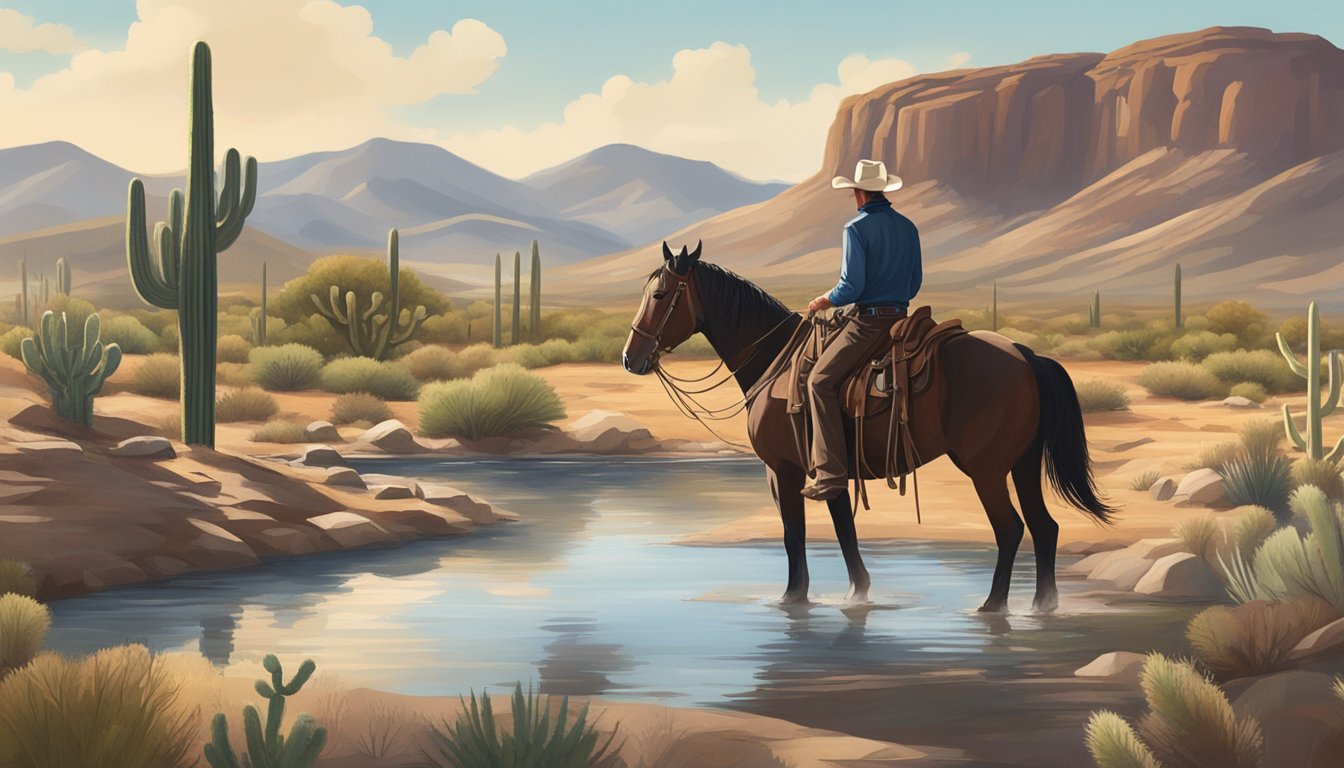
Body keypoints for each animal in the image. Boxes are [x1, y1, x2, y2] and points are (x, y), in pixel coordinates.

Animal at [623, 243, 1107, 616]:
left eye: (660, 294)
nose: (631, 357)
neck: (775, 359)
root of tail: (1027, 355)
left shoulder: (784, 471)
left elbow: (793, 534)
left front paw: (792, 598)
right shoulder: (830, 470)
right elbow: (845, 532)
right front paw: (858, 593)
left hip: (986, 469)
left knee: (1010, 529)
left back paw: (991, 606)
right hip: (1022, 464)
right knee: (1045, 527)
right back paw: (1042, 607)